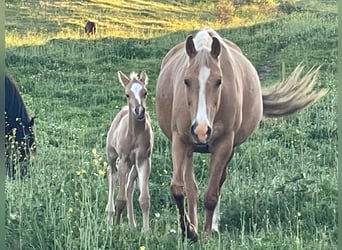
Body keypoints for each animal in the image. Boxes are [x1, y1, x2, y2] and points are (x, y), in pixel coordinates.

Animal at [105, 71, 154, 232]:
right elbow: (120, 199)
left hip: (134, 165)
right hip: (112, 156)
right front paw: (116, 226)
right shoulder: (124, 159)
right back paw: (109, 215)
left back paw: (132, 225)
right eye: (127, 94)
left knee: (129, 186)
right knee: (112, 175)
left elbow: (144, 199)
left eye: (145, 92)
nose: (139, 111)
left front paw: (146, 231)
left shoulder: (144, 160)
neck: (135, 135)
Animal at [155, 27, 326, 242]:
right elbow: (178, 189)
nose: (201, 130)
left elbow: (211, 195)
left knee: (218, 183)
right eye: (186, 81)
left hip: (229, 149)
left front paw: (206, 234)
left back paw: (212, 225)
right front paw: (189, 231)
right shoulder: (180, 141)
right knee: (192, 188)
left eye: (219, 81)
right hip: (189, 149)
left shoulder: (224, 144)